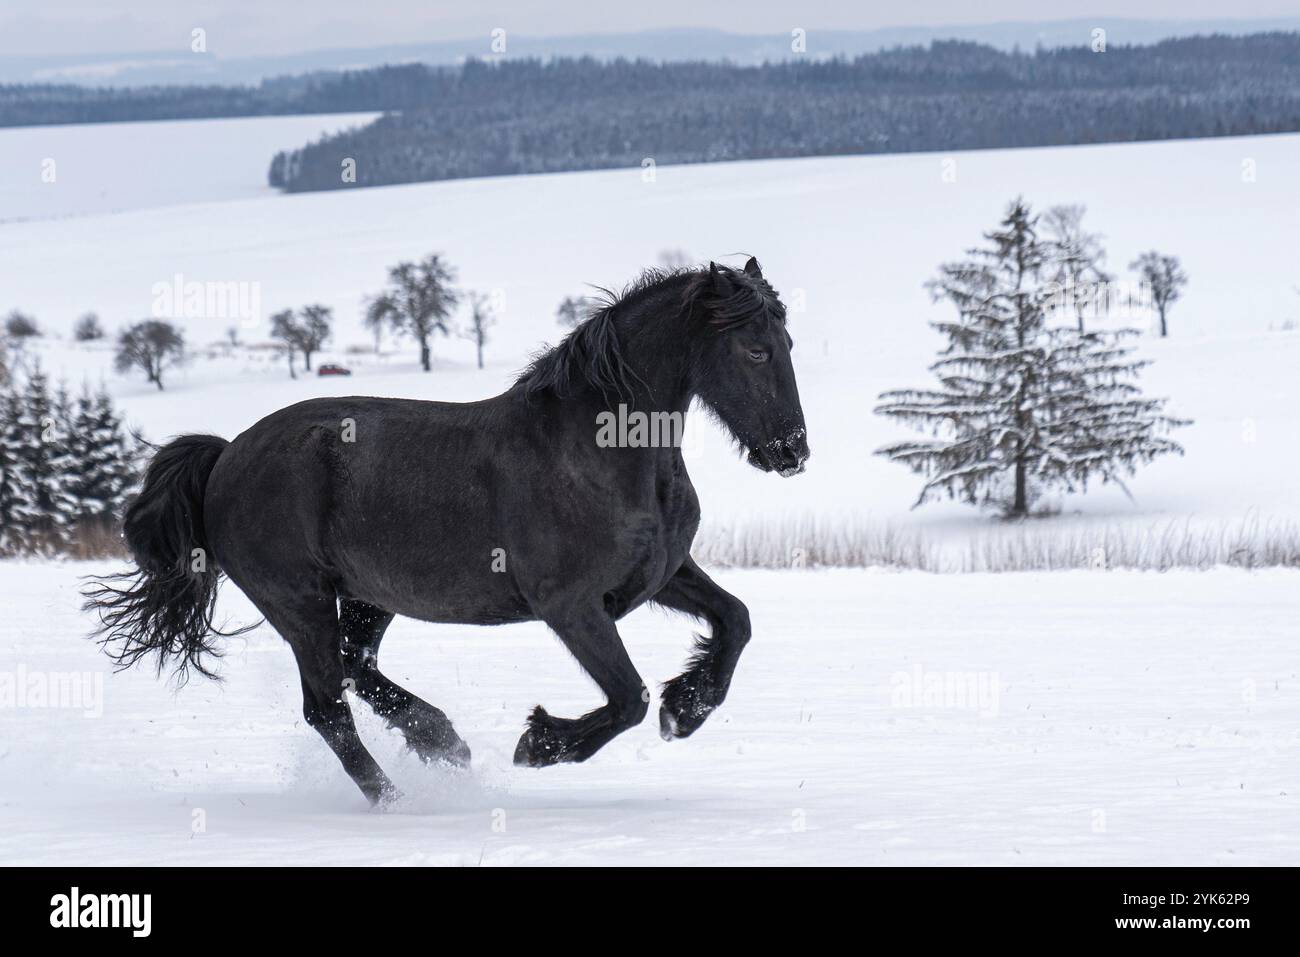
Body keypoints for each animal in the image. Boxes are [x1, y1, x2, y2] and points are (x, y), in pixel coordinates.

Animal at [83, 257, 800, 806]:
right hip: (298, 602)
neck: (603, 451)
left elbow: (735, 620)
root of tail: (227, 455)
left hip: (366, 597)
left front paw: (688, 707)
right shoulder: (570, 605)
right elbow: (627, 698)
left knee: (357, 669)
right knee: (328, 708)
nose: (792, 451)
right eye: (755, 348)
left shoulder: (661, 574)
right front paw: (539, 742)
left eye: (788, 344)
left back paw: (442, 742)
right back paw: (395, 799)